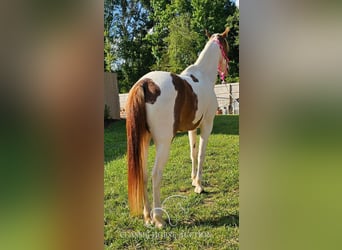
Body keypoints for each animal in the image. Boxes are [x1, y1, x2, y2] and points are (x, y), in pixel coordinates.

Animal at [125, 26, 230, 228]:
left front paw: (193, 181)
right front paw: (199, 185)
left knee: (143, 173)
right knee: (155, 175)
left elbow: (193, 153)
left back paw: (148, 216)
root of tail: (145, 83)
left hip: (144, 140)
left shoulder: (192, 128)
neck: (203, 76)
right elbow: (201, 154)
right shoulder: (207, 125)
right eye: (227, 47)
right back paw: (158, 219)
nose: (226, 69)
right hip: (163, 143)